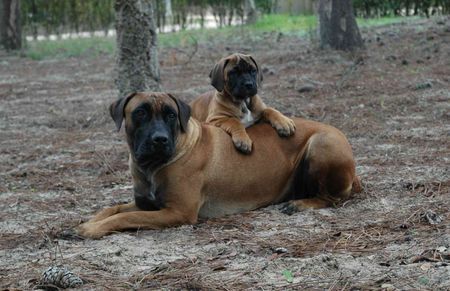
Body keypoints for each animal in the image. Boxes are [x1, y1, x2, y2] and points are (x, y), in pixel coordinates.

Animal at [75, 93, 360, 240]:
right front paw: (89, 221)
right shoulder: (147, 203)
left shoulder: (177, 211)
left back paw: (300, 204)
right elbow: (113, 208)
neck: (151, 167)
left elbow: (126, 217)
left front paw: (91, 229)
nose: (160, 139)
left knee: (333, 197)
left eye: (170, 114)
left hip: (321, 144)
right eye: (140, 112)